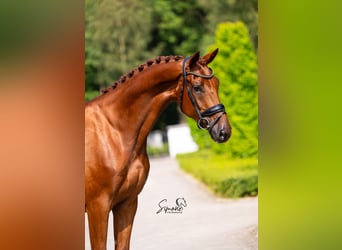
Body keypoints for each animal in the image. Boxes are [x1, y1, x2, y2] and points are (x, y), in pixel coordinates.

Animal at [84, 49, 231, 250]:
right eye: (197, 87)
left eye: (217, 83)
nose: (224, 131)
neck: (113, 130)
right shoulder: (98, 207)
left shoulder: (127, 203)